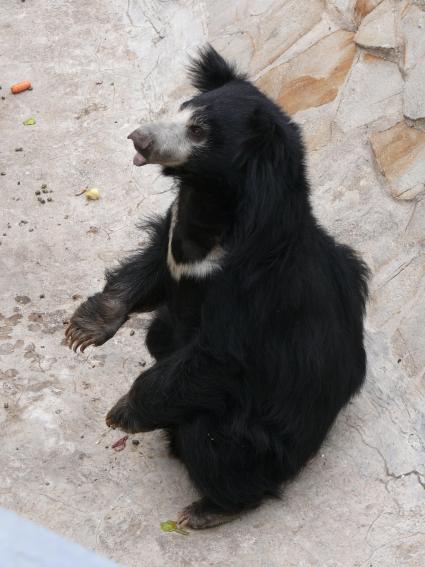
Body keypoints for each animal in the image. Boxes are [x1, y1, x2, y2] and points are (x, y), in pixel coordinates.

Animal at [66, 46, 368, 532]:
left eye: (198, 130)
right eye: (182, 109)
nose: (137, 137)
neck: (211, 207)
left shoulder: (251, 288)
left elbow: (218, 356)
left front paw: (122, 412)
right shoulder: (179, 240)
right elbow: (152, 265)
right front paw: (84, 328)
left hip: (257, 442)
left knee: (210, 439)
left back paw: (211, 508)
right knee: (160, 334)